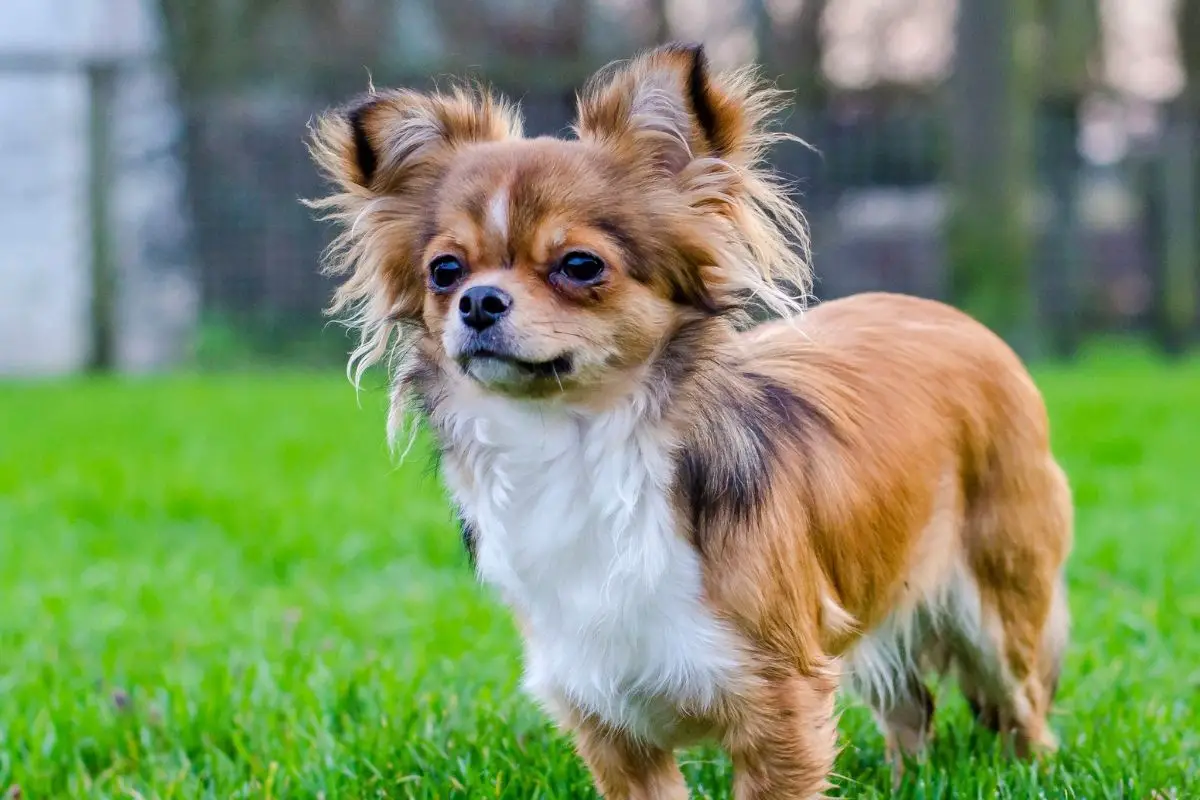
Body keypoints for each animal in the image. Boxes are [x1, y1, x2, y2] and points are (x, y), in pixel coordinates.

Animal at [304, 43, 1075, 800]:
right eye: (444, 271)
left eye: (579, 265)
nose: (478, 301)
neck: (572, 443)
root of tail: (959, 320)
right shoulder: (608, 721)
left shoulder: (780, 698)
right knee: (911, 708)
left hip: (1001, 606)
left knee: (1025, 711)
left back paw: (1031, 770)